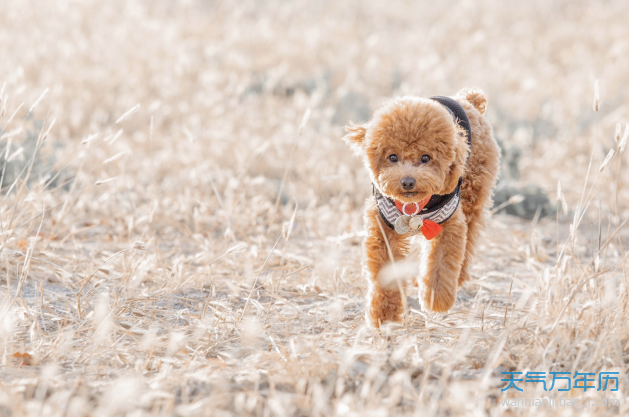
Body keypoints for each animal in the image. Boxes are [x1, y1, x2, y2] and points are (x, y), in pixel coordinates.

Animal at [340, 88, 498, 328]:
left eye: (426, 158)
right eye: (392, 157)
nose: (407, 182)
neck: (412, 209)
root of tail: (468, 100)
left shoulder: (450, 225)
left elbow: (442, 264)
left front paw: (436, 299)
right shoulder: (383, 229)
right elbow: (385, 272)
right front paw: (384, 316)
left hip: (472, 195)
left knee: (469, 239)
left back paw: (458, 277)